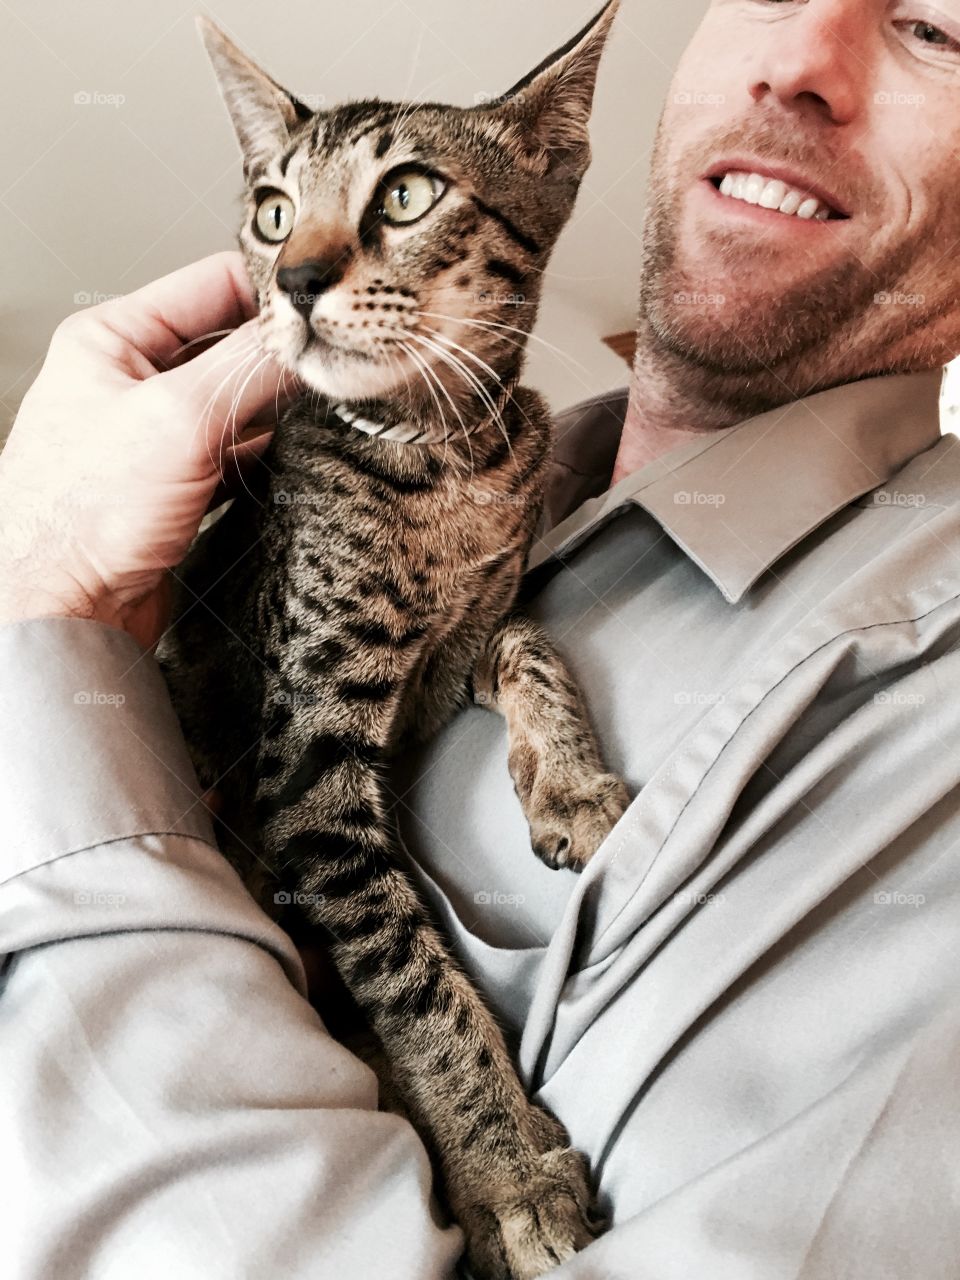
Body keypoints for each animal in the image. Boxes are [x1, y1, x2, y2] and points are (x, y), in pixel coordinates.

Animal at [158, 5, 624, 1274]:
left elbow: (532, 643)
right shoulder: (308, 778)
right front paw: (509, 1168)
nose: (295, 278)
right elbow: (415, 980)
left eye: (407, 193)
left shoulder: (467, 638)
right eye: (273, 210)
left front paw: (573, 786)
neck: (443, 459)